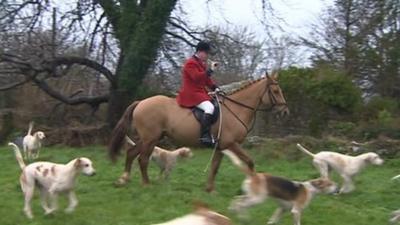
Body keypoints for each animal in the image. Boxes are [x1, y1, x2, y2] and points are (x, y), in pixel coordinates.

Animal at [108, 73, 290, 192]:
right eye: (275, 92)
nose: (285, 112)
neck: (236, 108)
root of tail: (140, 102)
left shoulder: (221, 147)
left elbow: (215, 167)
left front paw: (209, 189)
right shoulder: (231, 144)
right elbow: (250, 161)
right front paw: (254, 187)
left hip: (149, 138)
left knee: (132, 153)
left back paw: (124, 179)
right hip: (150, 139)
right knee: (143, 159)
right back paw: (145, 184)